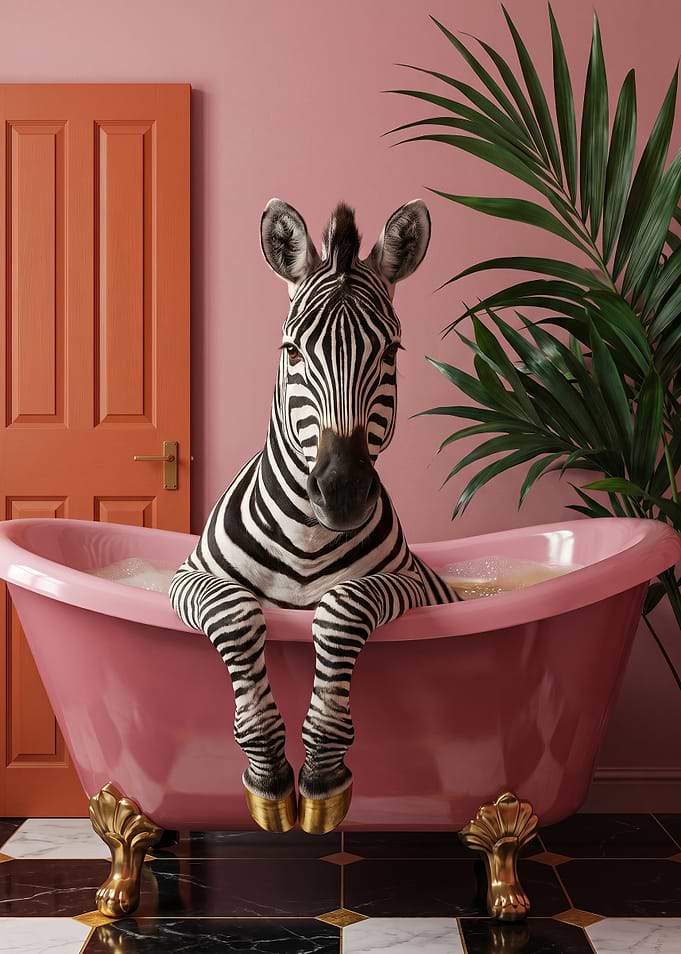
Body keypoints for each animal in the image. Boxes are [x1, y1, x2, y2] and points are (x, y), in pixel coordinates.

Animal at [169, 198, 456, 835]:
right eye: (292, 352)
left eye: (391, 353)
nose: (342, 492)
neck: (306, 536)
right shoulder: (187, 578)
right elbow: (235, 613)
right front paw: (268, 774)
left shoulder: (409, 585)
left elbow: (342, 609)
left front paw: (322, 771)